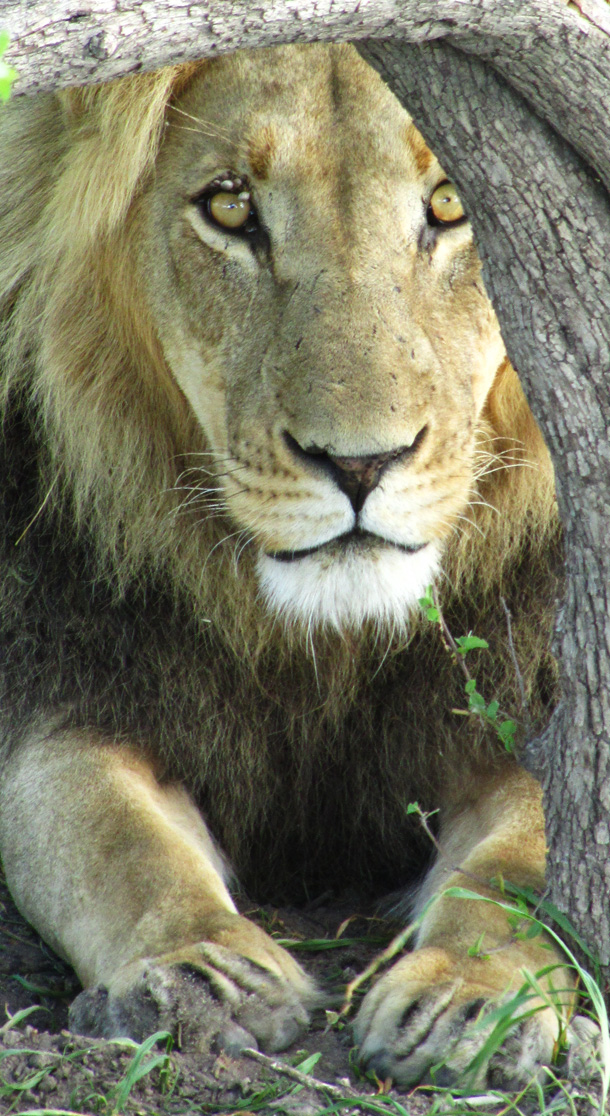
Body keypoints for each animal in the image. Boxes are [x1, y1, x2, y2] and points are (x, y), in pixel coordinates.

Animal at [0, 41, 584, 1088]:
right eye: (231, 208)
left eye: (451, 201)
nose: (359, 464)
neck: (331, 641)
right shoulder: (61, 679)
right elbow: (108, 836)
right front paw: (195, 975)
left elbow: (525, 863)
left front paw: (473, 1000)